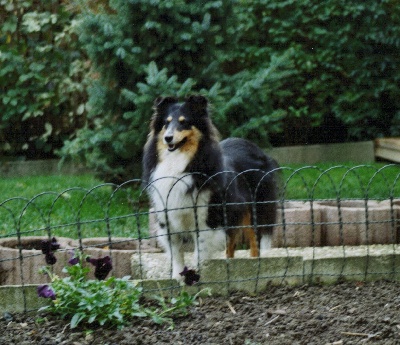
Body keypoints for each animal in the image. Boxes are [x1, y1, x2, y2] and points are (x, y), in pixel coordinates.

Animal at [143, 94, 278, 280]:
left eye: (184, 122)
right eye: (166, 123)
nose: (168, 138)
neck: (179, 162)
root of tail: (255, 147)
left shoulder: (205, 215)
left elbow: (200, 249)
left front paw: (197, 273)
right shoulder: (167, 215)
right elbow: (176, 251)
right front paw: (178, 277)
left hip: (255, 209)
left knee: (254, 240)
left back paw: (254, 263)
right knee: (231, 242)